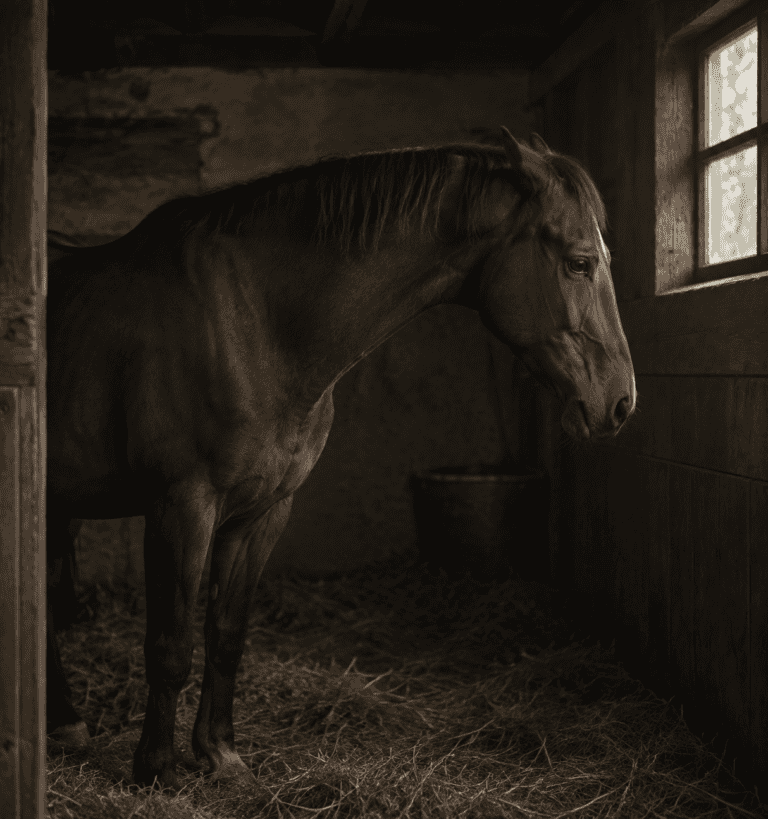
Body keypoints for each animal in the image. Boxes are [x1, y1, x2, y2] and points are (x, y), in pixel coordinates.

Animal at [46, 127, 636, 790]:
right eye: (579, 262)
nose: (620, 400)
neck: (253, 321)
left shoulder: (263, 512)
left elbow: (226, 635)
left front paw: (220, 754)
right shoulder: (180, 506)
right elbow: (170, 644)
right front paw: (157, 770)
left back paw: (64, 722)